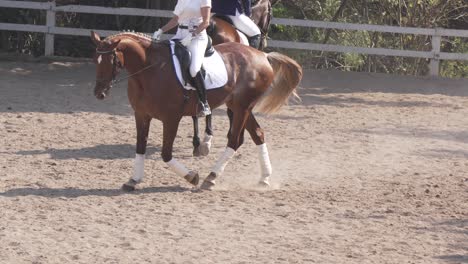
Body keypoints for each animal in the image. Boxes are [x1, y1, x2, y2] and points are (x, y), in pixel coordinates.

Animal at [90, 32, 302, 191]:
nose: (99, 93)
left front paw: (192, 177)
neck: (149, 71)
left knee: (234, 141)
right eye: (95, 60)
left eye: (110, 60)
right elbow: (140, 146)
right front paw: (133, 180)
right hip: (239, 107)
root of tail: (262, 56)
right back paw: (264, 178)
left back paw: (211, 177)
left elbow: (166, 154)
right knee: (257, 134)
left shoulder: (171, 119)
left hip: (242, 107)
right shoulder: (141, 115)